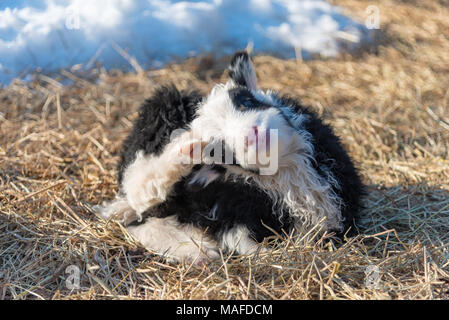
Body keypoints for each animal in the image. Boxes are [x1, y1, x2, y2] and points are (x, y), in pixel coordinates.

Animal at [95, 52, 364, 262]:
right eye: (219, 149)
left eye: (245, 101)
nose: (252, 136)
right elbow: (247, 246)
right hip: (161, 112)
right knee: (141, 188)